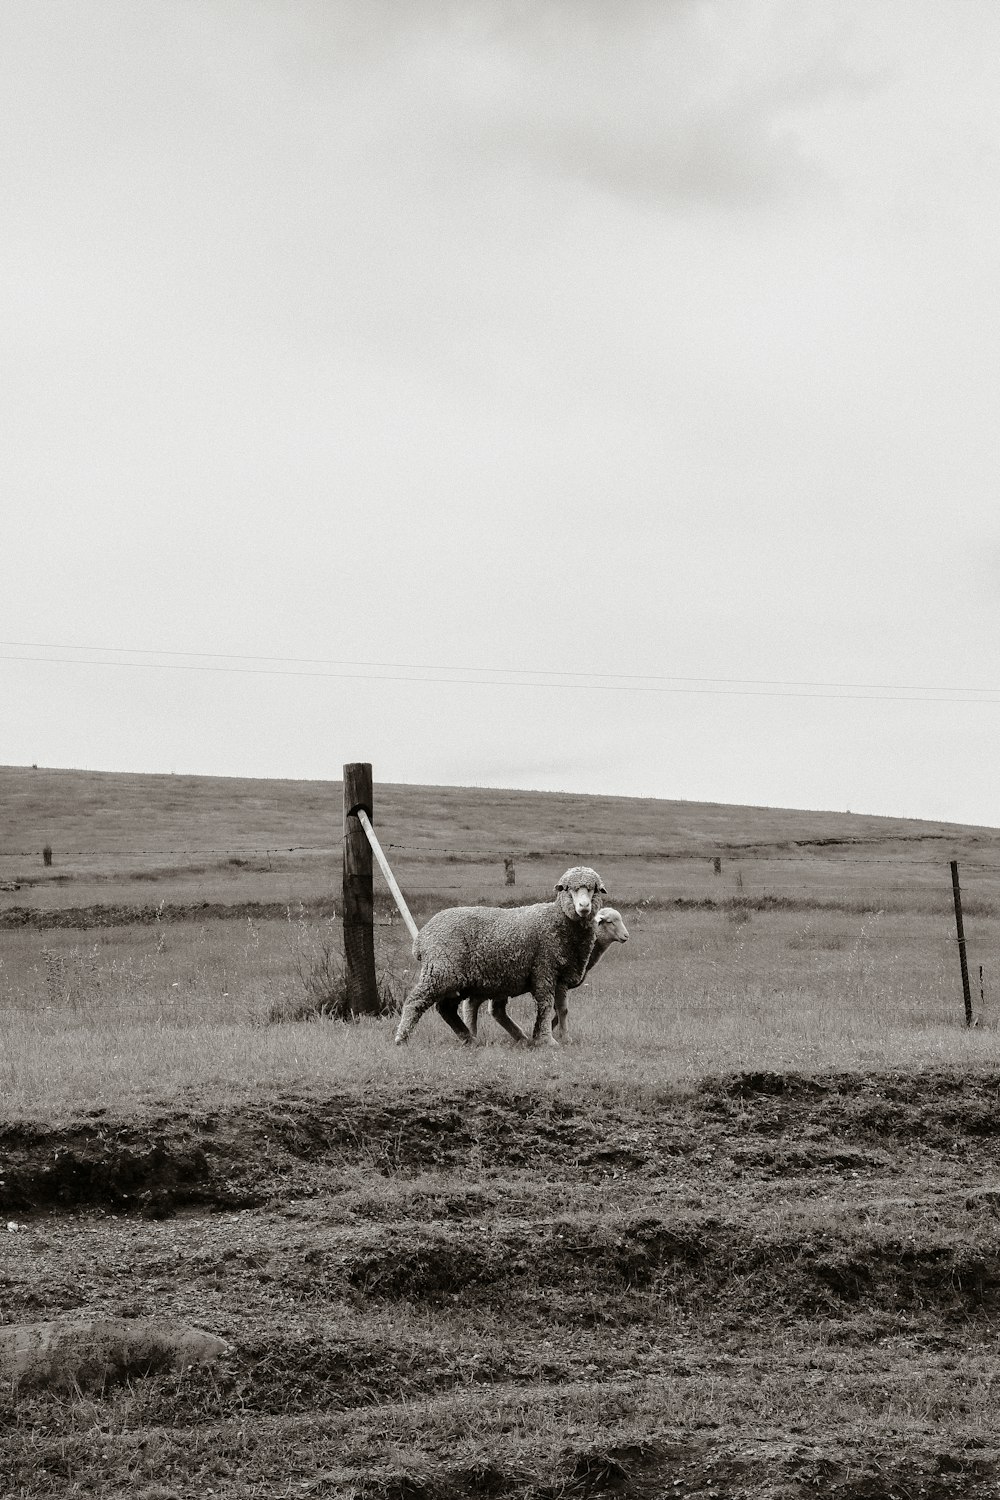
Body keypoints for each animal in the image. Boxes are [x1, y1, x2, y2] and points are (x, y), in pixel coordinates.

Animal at [395, 864, 605, 1050]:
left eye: (593, 889)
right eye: (569, 889)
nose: (584, 906)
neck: (559, 920)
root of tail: (422, 937)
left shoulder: (561, 974)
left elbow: (562, 1008)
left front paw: (564, 1038)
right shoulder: (544, 969)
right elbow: (545, 1005)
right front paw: (547, 1040)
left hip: (459, 979)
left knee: (446, 1008)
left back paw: (469, 1038)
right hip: (440, 970)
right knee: (415, 1001)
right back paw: (401, 1039)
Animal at [458, 900, 629, 1044]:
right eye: (610, 921)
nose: (626, 936)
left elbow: (556, 1010)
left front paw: (542, 1032)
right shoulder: (557, 981)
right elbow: (561, 1009)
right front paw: (559, 1035)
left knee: (491, 1009)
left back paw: (517, 1037)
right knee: (477, 1005)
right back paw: (473, 1034)